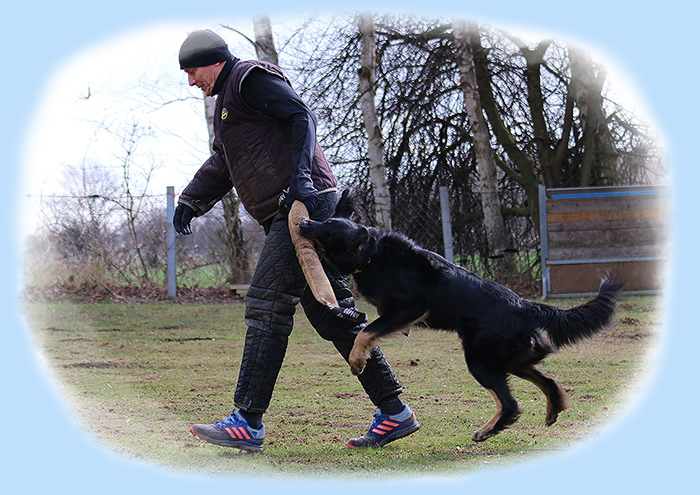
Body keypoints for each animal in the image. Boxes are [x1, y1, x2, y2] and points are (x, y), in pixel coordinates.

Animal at [299, 191, 623, 442]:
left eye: (329, 227)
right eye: (324, 220)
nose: (302, 221)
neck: (371, 254)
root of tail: (525, 305)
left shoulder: (410, 308)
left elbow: (367, 331)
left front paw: (357, 360)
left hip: (481, 360)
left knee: (510, 404)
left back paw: (487, 431)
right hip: (512, 359)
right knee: (549, 382)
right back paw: (551, 411)